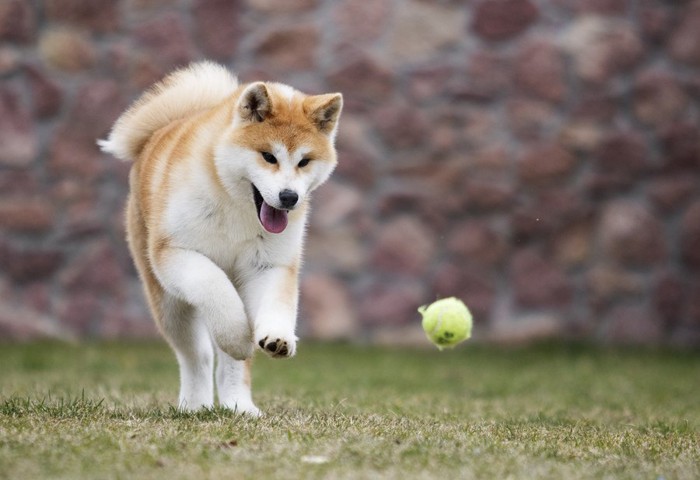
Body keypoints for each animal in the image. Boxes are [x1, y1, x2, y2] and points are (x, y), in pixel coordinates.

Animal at [99, 62, 344, 416]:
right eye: (268, 156)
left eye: (304, 161)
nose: (289, 197)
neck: (235, 205)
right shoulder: (176, 253)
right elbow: (215, 289)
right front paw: (236, 336)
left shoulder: (269, 264)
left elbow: (277, 307)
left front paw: (278, 338)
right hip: (169, 303)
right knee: (196, 356)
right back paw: (195, 405)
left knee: (233, 366)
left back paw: (239, 406)